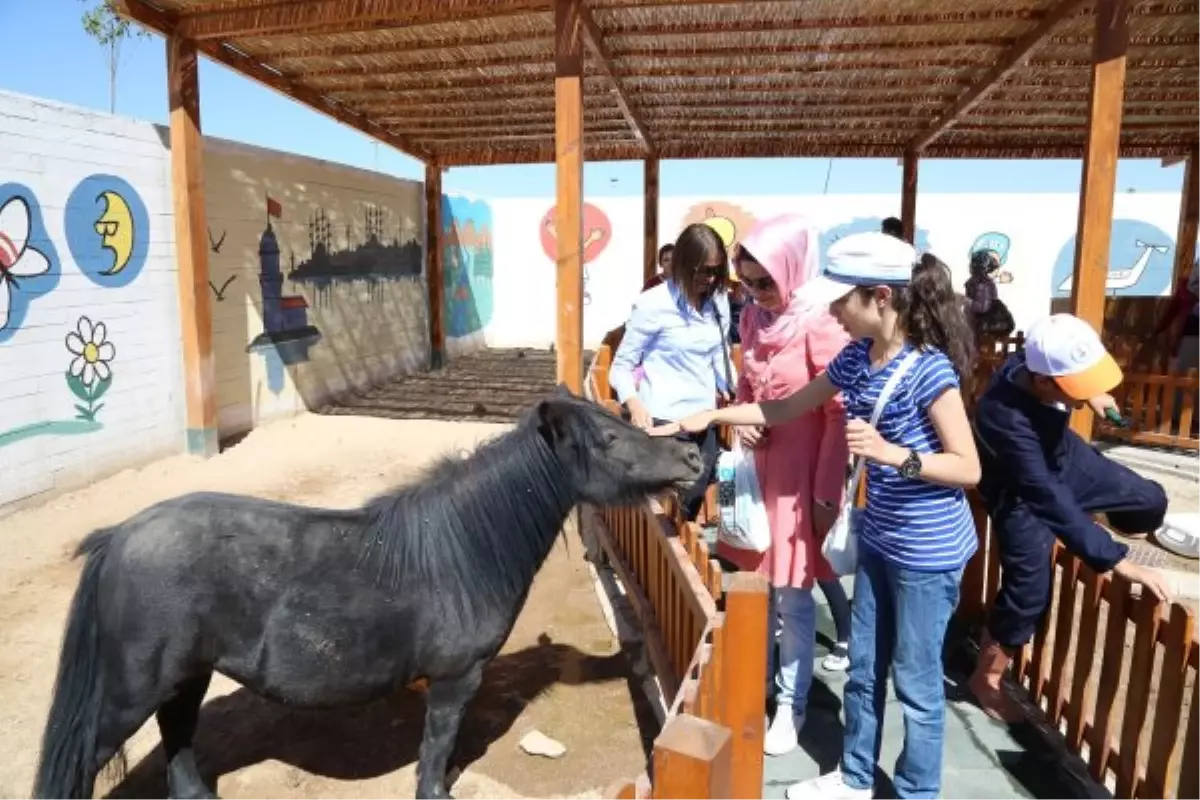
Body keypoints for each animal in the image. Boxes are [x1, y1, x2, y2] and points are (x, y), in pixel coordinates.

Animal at [35, 391, 700, 800]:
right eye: (608, 439)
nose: (692, 453)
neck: (463, 548)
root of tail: (120, 536)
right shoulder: (455, 679)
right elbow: (437, 748)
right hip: (129, 693)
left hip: (186, 676)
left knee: (177, 734)